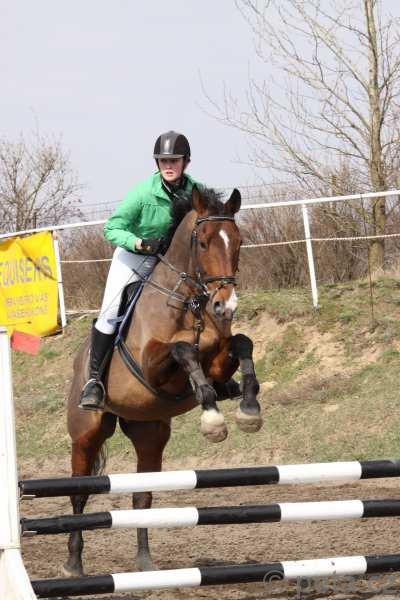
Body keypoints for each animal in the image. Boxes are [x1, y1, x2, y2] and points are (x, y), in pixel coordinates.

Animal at [65, 185, 262, 576]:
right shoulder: (153, 366)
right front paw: (212, 418)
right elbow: (183, 350)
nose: (225, 306)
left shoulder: (219, 358)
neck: (190, 303)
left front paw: (248, 409)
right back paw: (73, 563)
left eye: (239, 241)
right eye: (202, 242)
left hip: (150, 432)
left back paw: (145, 561)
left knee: (143, 495)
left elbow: (241, 344)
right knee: (79, 494)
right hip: (86, 435)